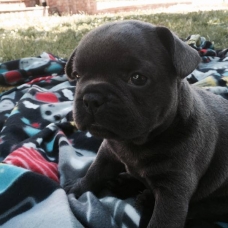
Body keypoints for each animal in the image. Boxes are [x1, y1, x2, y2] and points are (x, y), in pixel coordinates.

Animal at [64, 20, 228, 227]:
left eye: (137, 78)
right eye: (77, 76)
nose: (91, 98)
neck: (137, 142)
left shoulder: (174, 191)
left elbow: (163, 220)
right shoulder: (107, 152)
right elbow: (95, 172)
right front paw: (77, 187)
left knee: (201, 208)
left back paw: (145, 198)